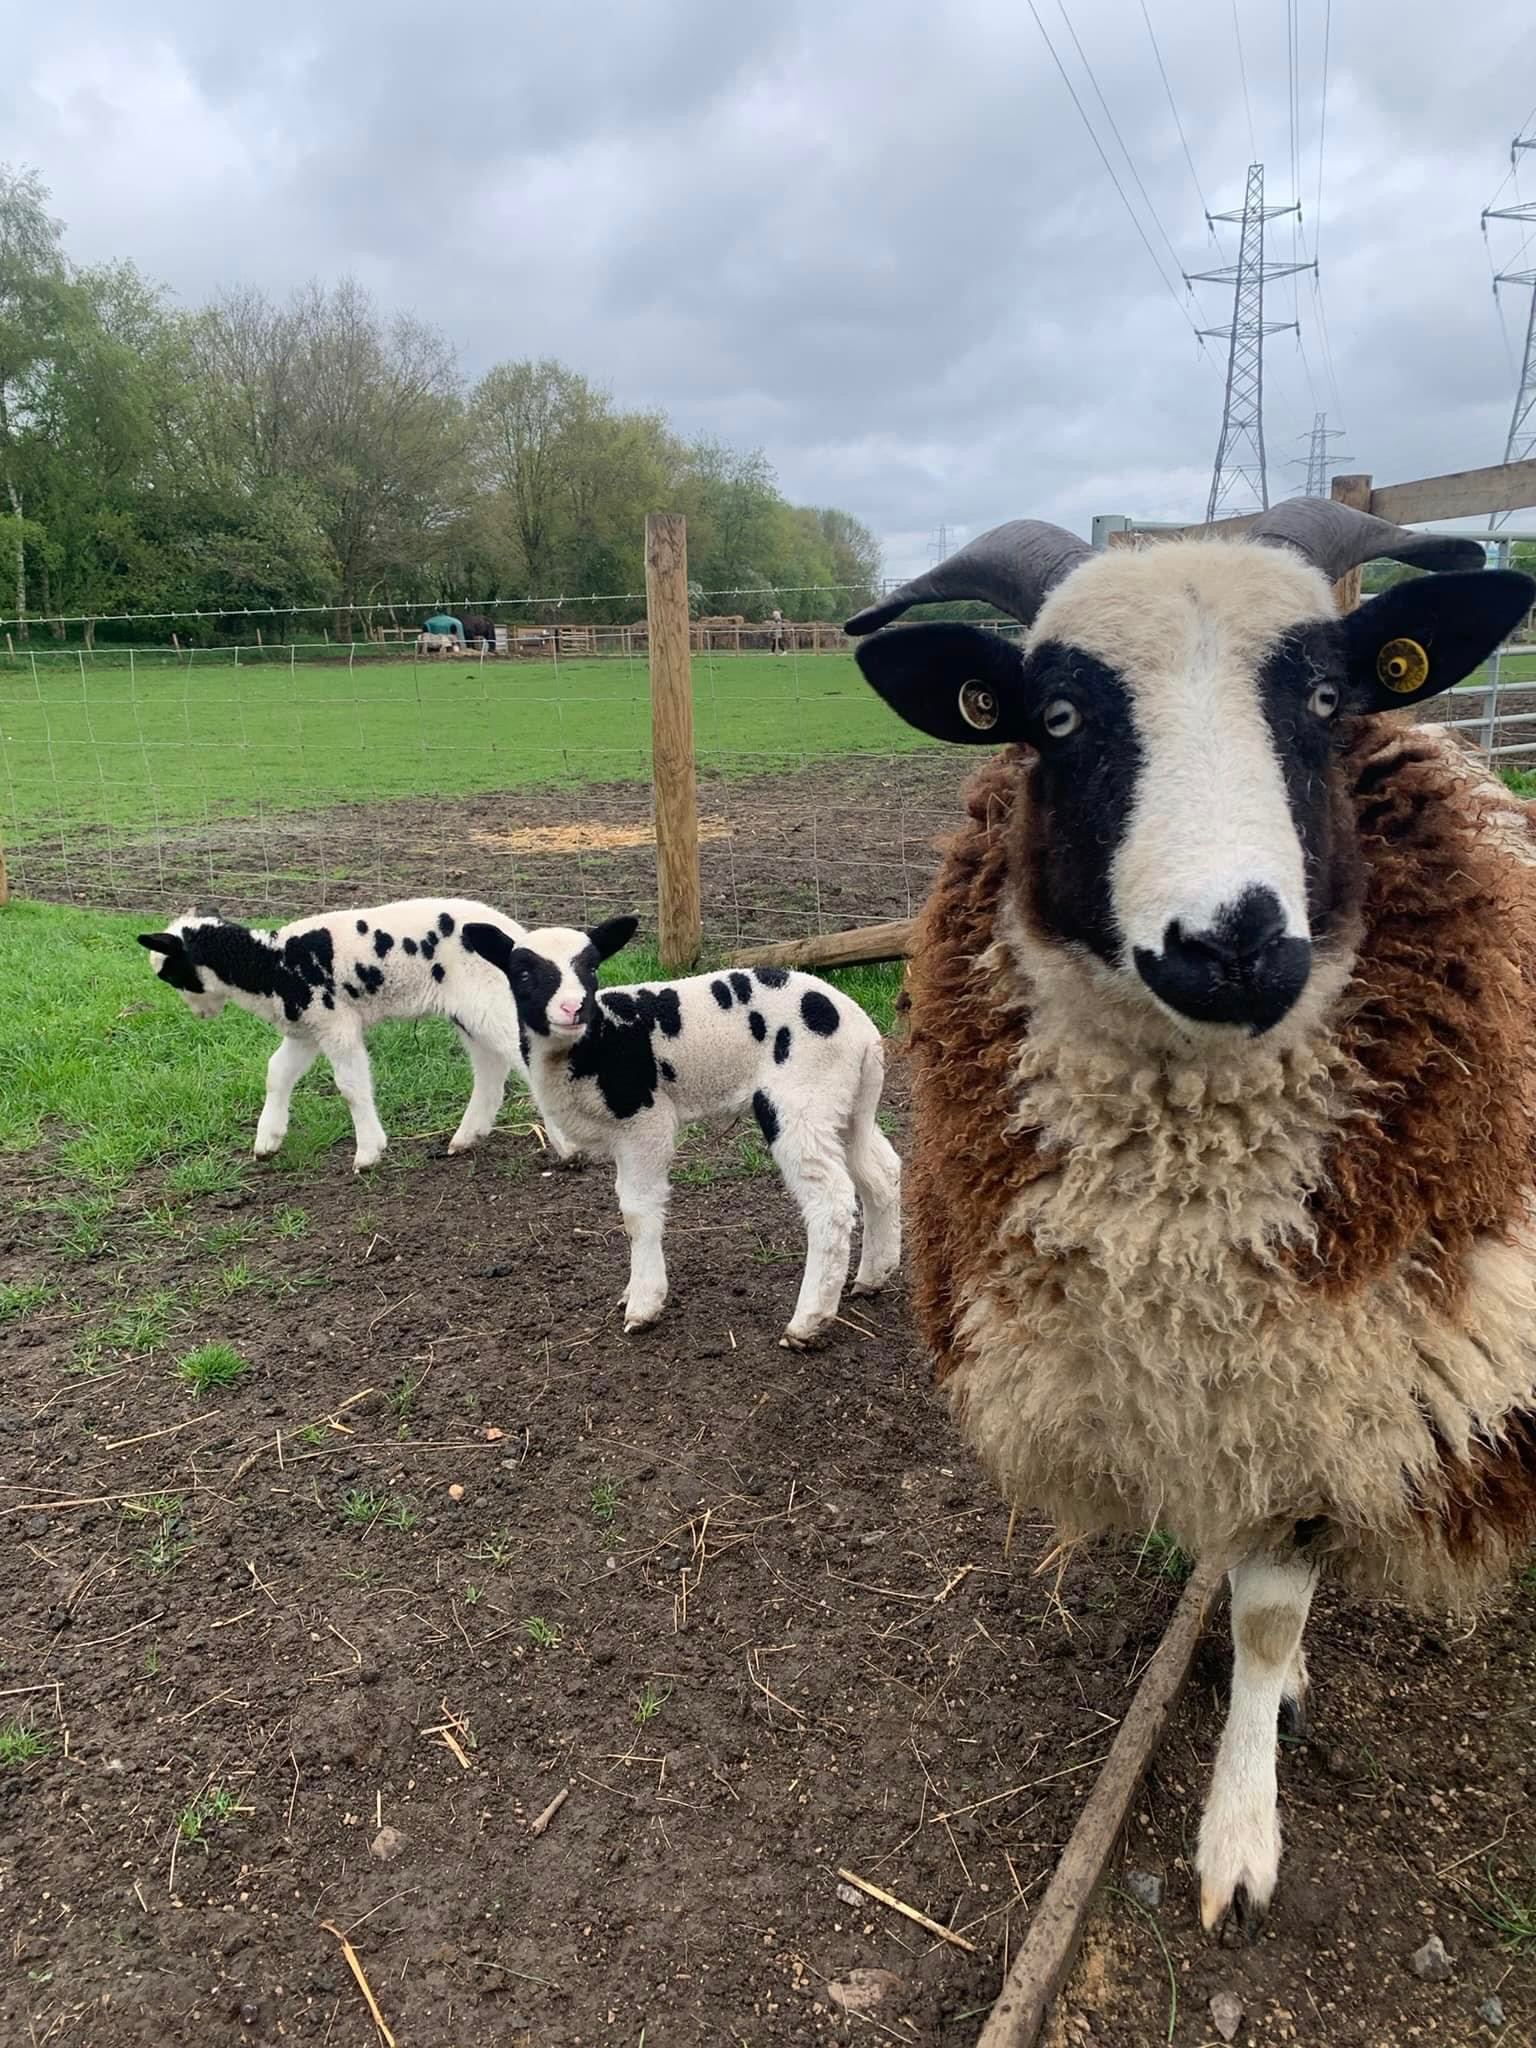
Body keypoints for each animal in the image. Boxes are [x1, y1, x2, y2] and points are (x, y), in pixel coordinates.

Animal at [138, 897, 549, 1172]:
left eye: (168, 972)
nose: (201, 1015)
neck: (272, 965)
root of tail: (519, 936)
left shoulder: (336, 1024)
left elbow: (350, 1086)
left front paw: (368, 1153)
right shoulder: (306, 1029)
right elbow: (276, 1073)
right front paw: (267, 1141)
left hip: (490, 1001)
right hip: (471, 1012)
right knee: (490, 1068)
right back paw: (466, 1137)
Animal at [461, 916, 902, 1345]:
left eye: (591, 968)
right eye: (522, 972)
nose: (573, 1007)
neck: (596, 1042)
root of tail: (860, 1030)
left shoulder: (646, 1122)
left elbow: (637, 1211)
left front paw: (643, 1303)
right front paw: (631, 1293)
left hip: (800, 1102)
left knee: (830, 1200)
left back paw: (808, 1322)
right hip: (846, 1105)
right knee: (881, 1173)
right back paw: (872, 1276)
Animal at [845, 499, 1536, 1939]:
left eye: (1327, 699)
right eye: (1054, 718)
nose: (1232, 942)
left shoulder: (1338, 1390)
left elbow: (1267, 1618)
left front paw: (1238, 1835)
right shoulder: (1229, 1395)